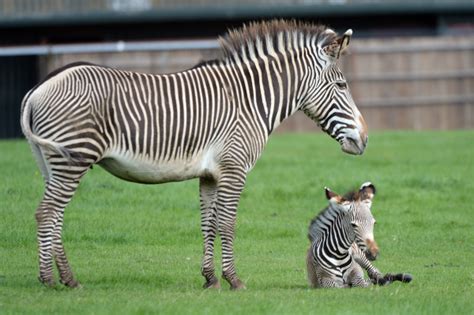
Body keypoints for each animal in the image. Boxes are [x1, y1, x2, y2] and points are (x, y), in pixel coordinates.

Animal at [21, 20, 370, 292]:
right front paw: (233, 279)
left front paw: (210, 279)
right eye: (342, 85)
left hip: (52, 163)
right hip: (73, 159)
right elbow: (227, 223)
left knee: (54, 215)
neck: (249, 101)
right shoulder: (234, 168)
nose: (365, 140)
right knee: (46, 213)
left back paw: (64, 278)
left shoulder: (210, 175)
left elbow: (208, 224)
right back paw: (51, 279)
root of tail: (39, 88)